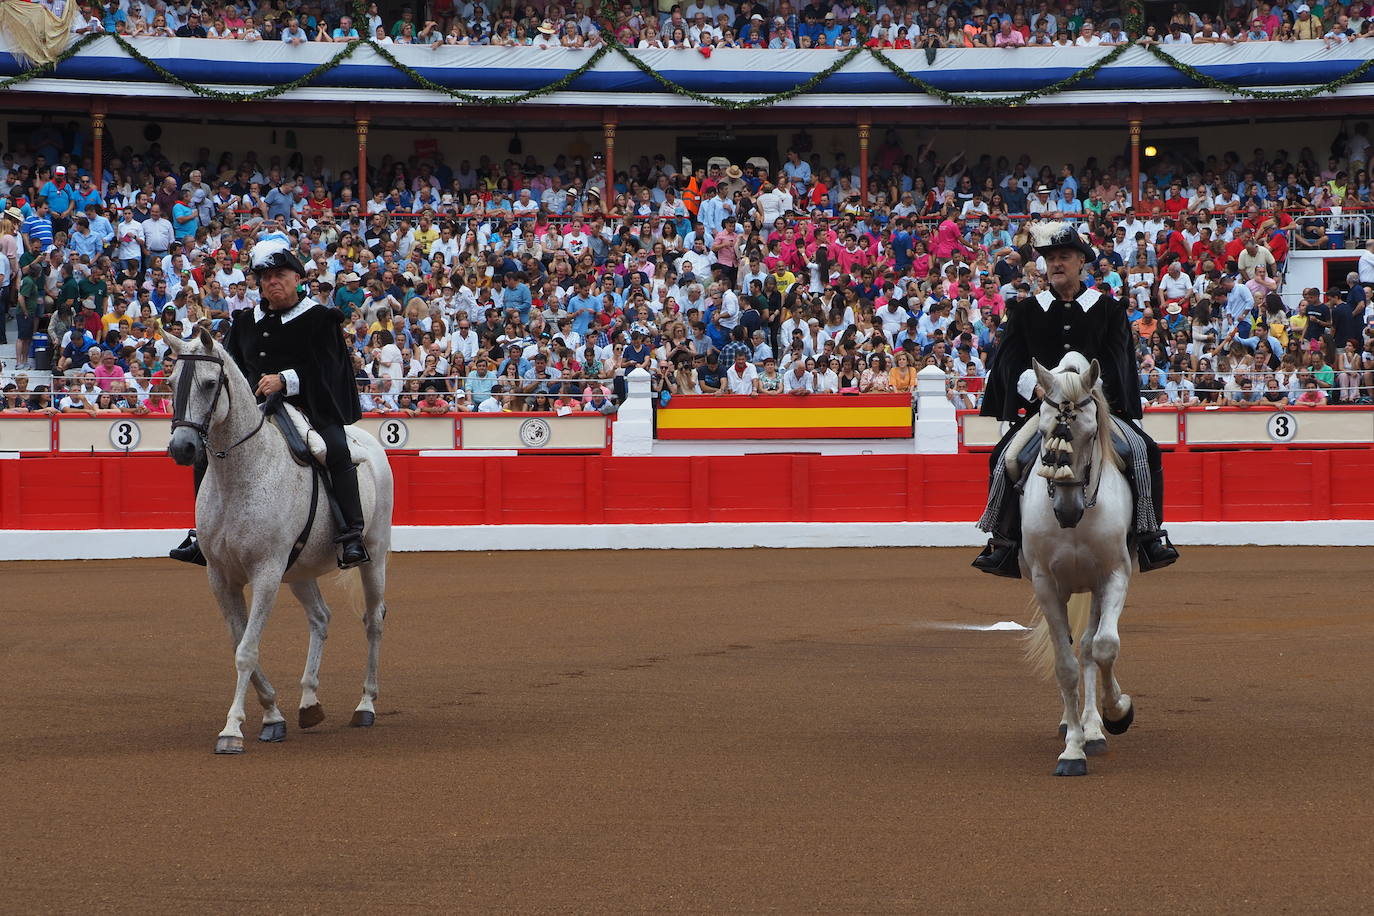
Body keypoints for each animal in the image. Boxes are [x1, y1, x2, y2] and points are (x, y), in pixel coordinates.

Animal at [164, 328, 398, 752]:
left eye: (210, 383)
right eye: (172, 382)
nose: (183, 448)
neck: (239, 474)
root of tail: (368, 442)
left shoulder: (266, 573)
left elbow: (246, 650)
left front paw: (232, 730)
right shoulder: (220, 578)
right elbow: (240, 645)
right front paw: (273, 715)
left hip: (374, 553)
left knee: (373, 619)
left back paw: (365, 705)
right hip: (300, 571)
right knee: (321, 617)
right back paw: (309, 703)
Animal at [1016, 351, 1132, 774]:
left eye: (1091, 434)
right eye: (1044, 431)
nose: (1068, 511)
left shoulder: (1113, 575)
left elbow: (1103, 647)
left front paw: (1116, 713)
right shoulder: (1045, 584)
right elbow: (1064, 665)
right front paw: (1071, 751)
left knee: (1088, 647)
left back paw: (1094, 728)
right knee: (1070, 650)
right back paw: (1074, 726)